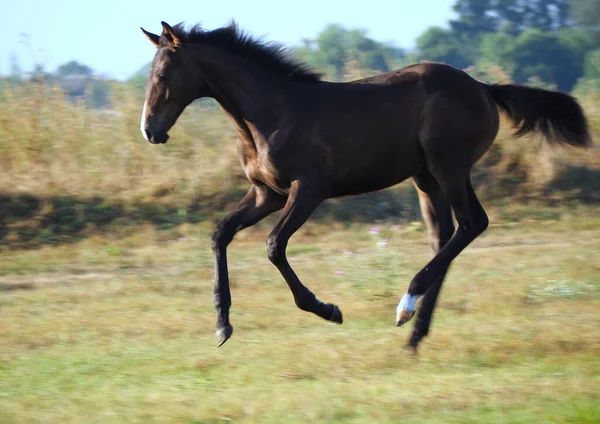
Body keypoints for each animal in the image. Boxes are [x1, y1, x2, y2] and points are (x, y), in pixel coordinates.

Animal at [139, 20, 592, 352]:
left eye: (163, 74)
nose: (150, 130)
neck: (270, 114)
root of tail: (483, 88)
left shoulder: (309, 189)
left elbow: (273, 246)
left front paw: (327, 309)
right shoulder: (267, 193)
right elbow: (220, 234)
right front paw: (222, 324)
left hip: (449, 165)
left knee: (471, 224)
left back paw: (406, 305)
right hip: (426, 177)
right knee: (444, 237)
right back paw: (414, 336)